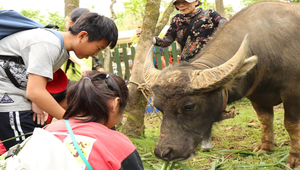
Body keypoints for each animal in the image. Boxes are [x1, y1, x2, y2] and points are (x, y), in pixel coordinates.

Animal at [142, 1, 300, 169]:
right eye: (158, 107)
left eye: (189, 106)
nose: (163, 152)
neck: (265, 48)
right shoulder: (256, 96)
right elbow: (265, 120)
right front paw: (265, 147)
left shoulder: (293, 92)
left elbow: (292, 124)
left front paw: (295, 159)